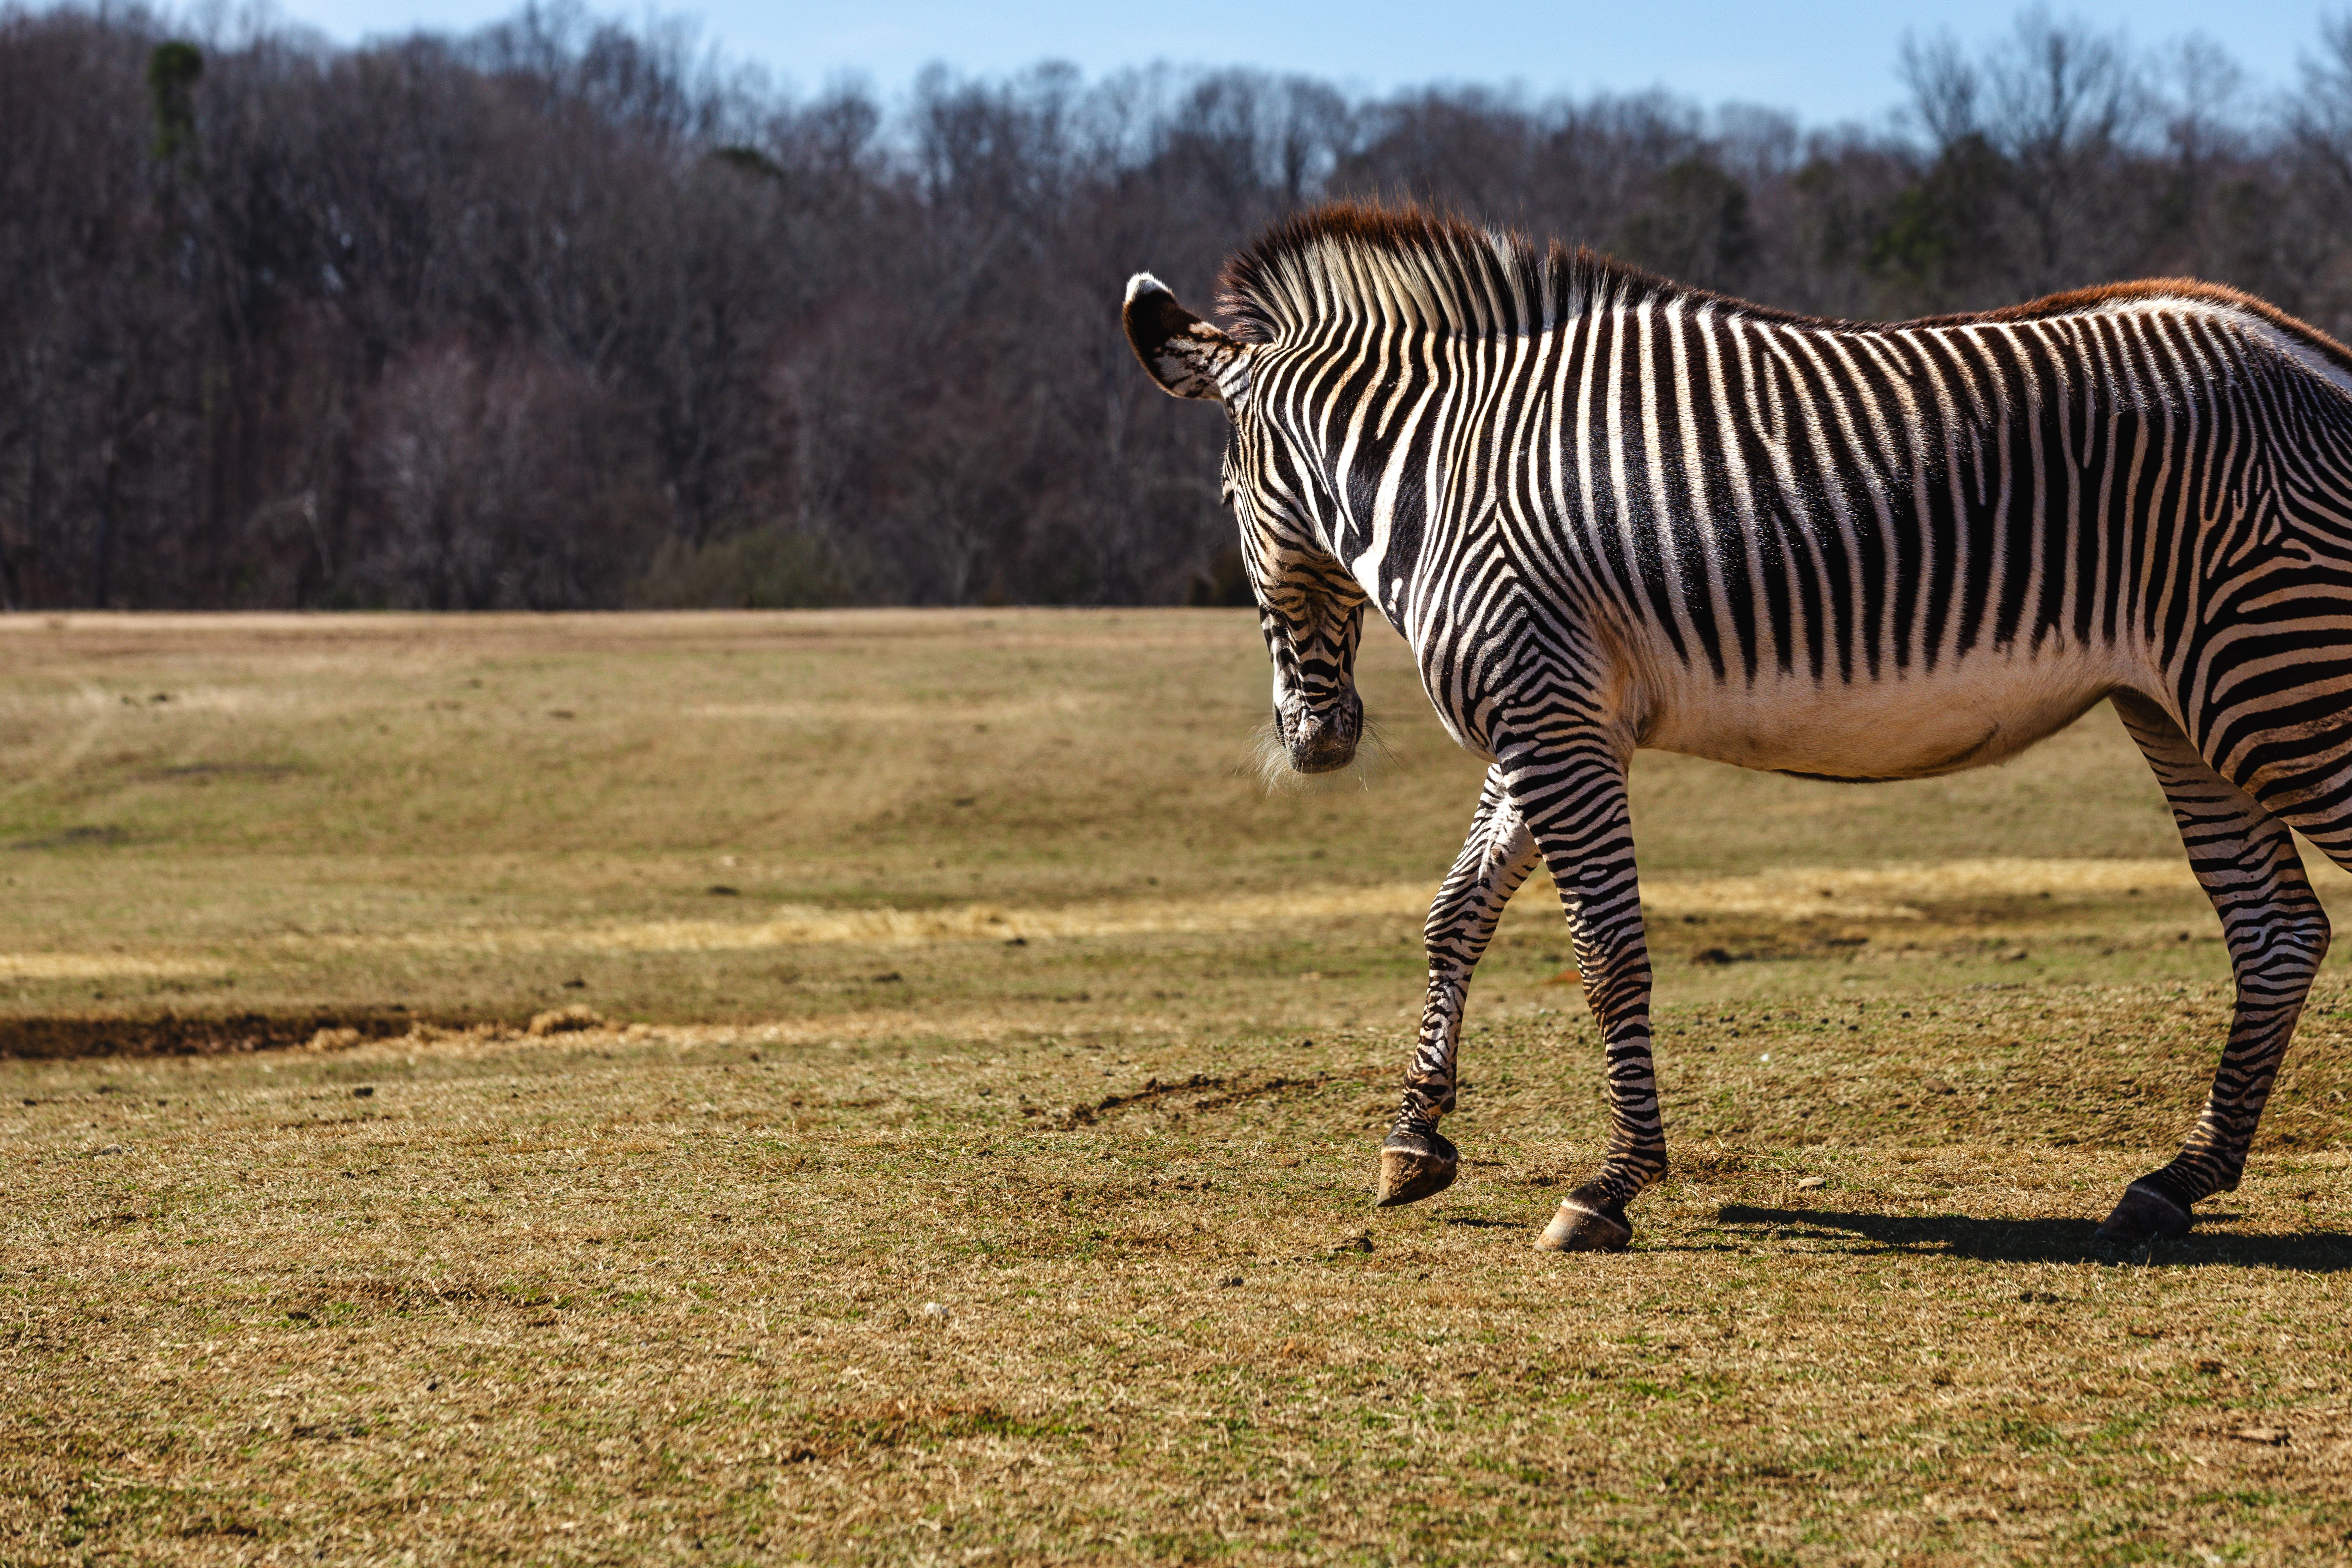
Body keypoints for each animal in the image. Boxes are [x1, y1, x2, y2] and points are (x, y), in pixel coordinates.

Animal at [1123, 202, 2352, 1253]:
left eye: (1227, 504)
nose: (1314, 739)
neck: (1449, 465)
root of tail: (2309, 352)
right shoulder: (1551, 717)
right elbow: (1453, 913)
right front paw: (1414, 1139)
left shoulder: (1549, 715)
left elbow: (1604, 951)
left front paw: (1611, 1184)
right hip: (2185, 710)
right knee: (2276, 931)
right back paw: (2174, 1181)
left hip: (2276, 682)